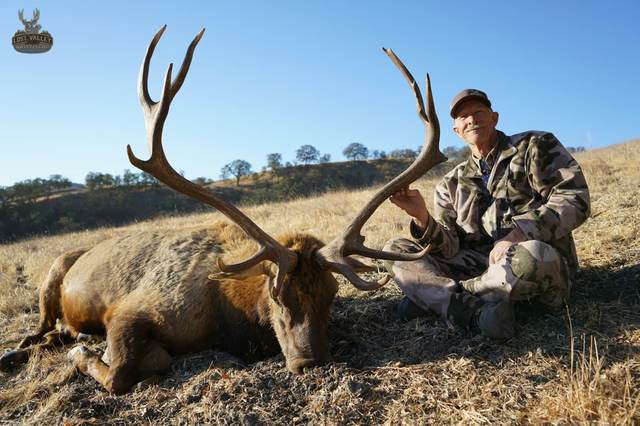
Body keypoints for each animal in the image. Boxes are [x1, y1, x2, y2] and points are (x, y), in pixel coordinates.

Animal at [0, 26, 446, 394]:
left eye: (332, 295)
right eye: (277, 296)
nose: (311, 361)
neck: (224, 314)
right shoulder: (130, 309)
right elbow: (120, 373)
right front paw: (84, 354)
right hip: (52, 274)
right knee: (41, 327)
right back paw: (25, 349)